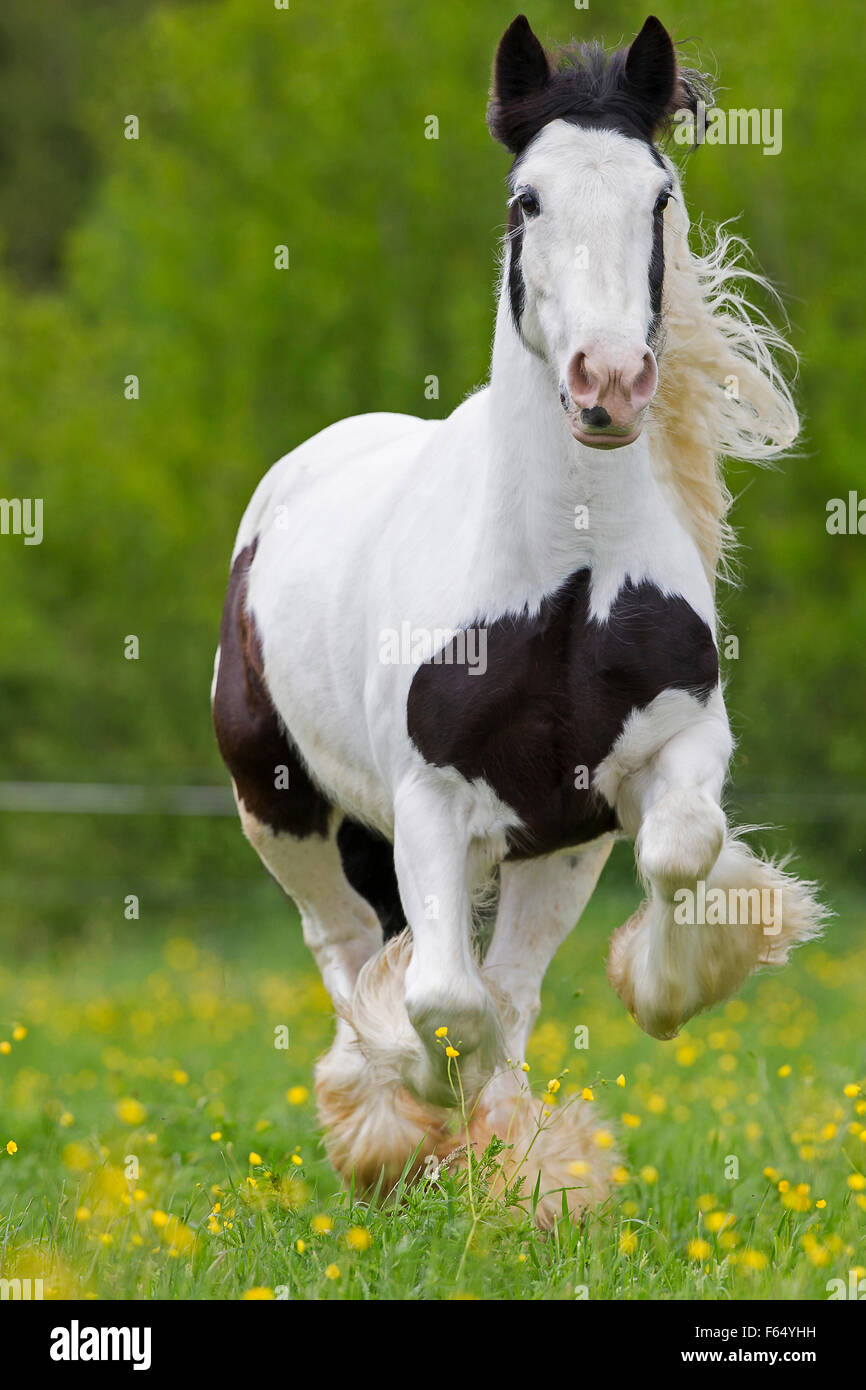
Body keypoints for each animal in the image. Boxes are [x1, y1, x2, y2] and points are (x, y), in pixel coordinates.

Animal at [212, 14, 823, 1226]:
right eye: (526, 200)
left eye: (657, 194)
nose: (609, 381)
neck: (567, 590)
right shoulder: (431, 799)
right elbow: (443, 1000)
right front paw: (420, 1110)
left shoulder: (659, 754)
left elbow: (680, 852)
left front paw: (668, 988)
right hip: (285, 809)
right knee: (350, 949)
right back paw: (384, 1131)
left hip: (555, 843)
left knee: (510, 981)